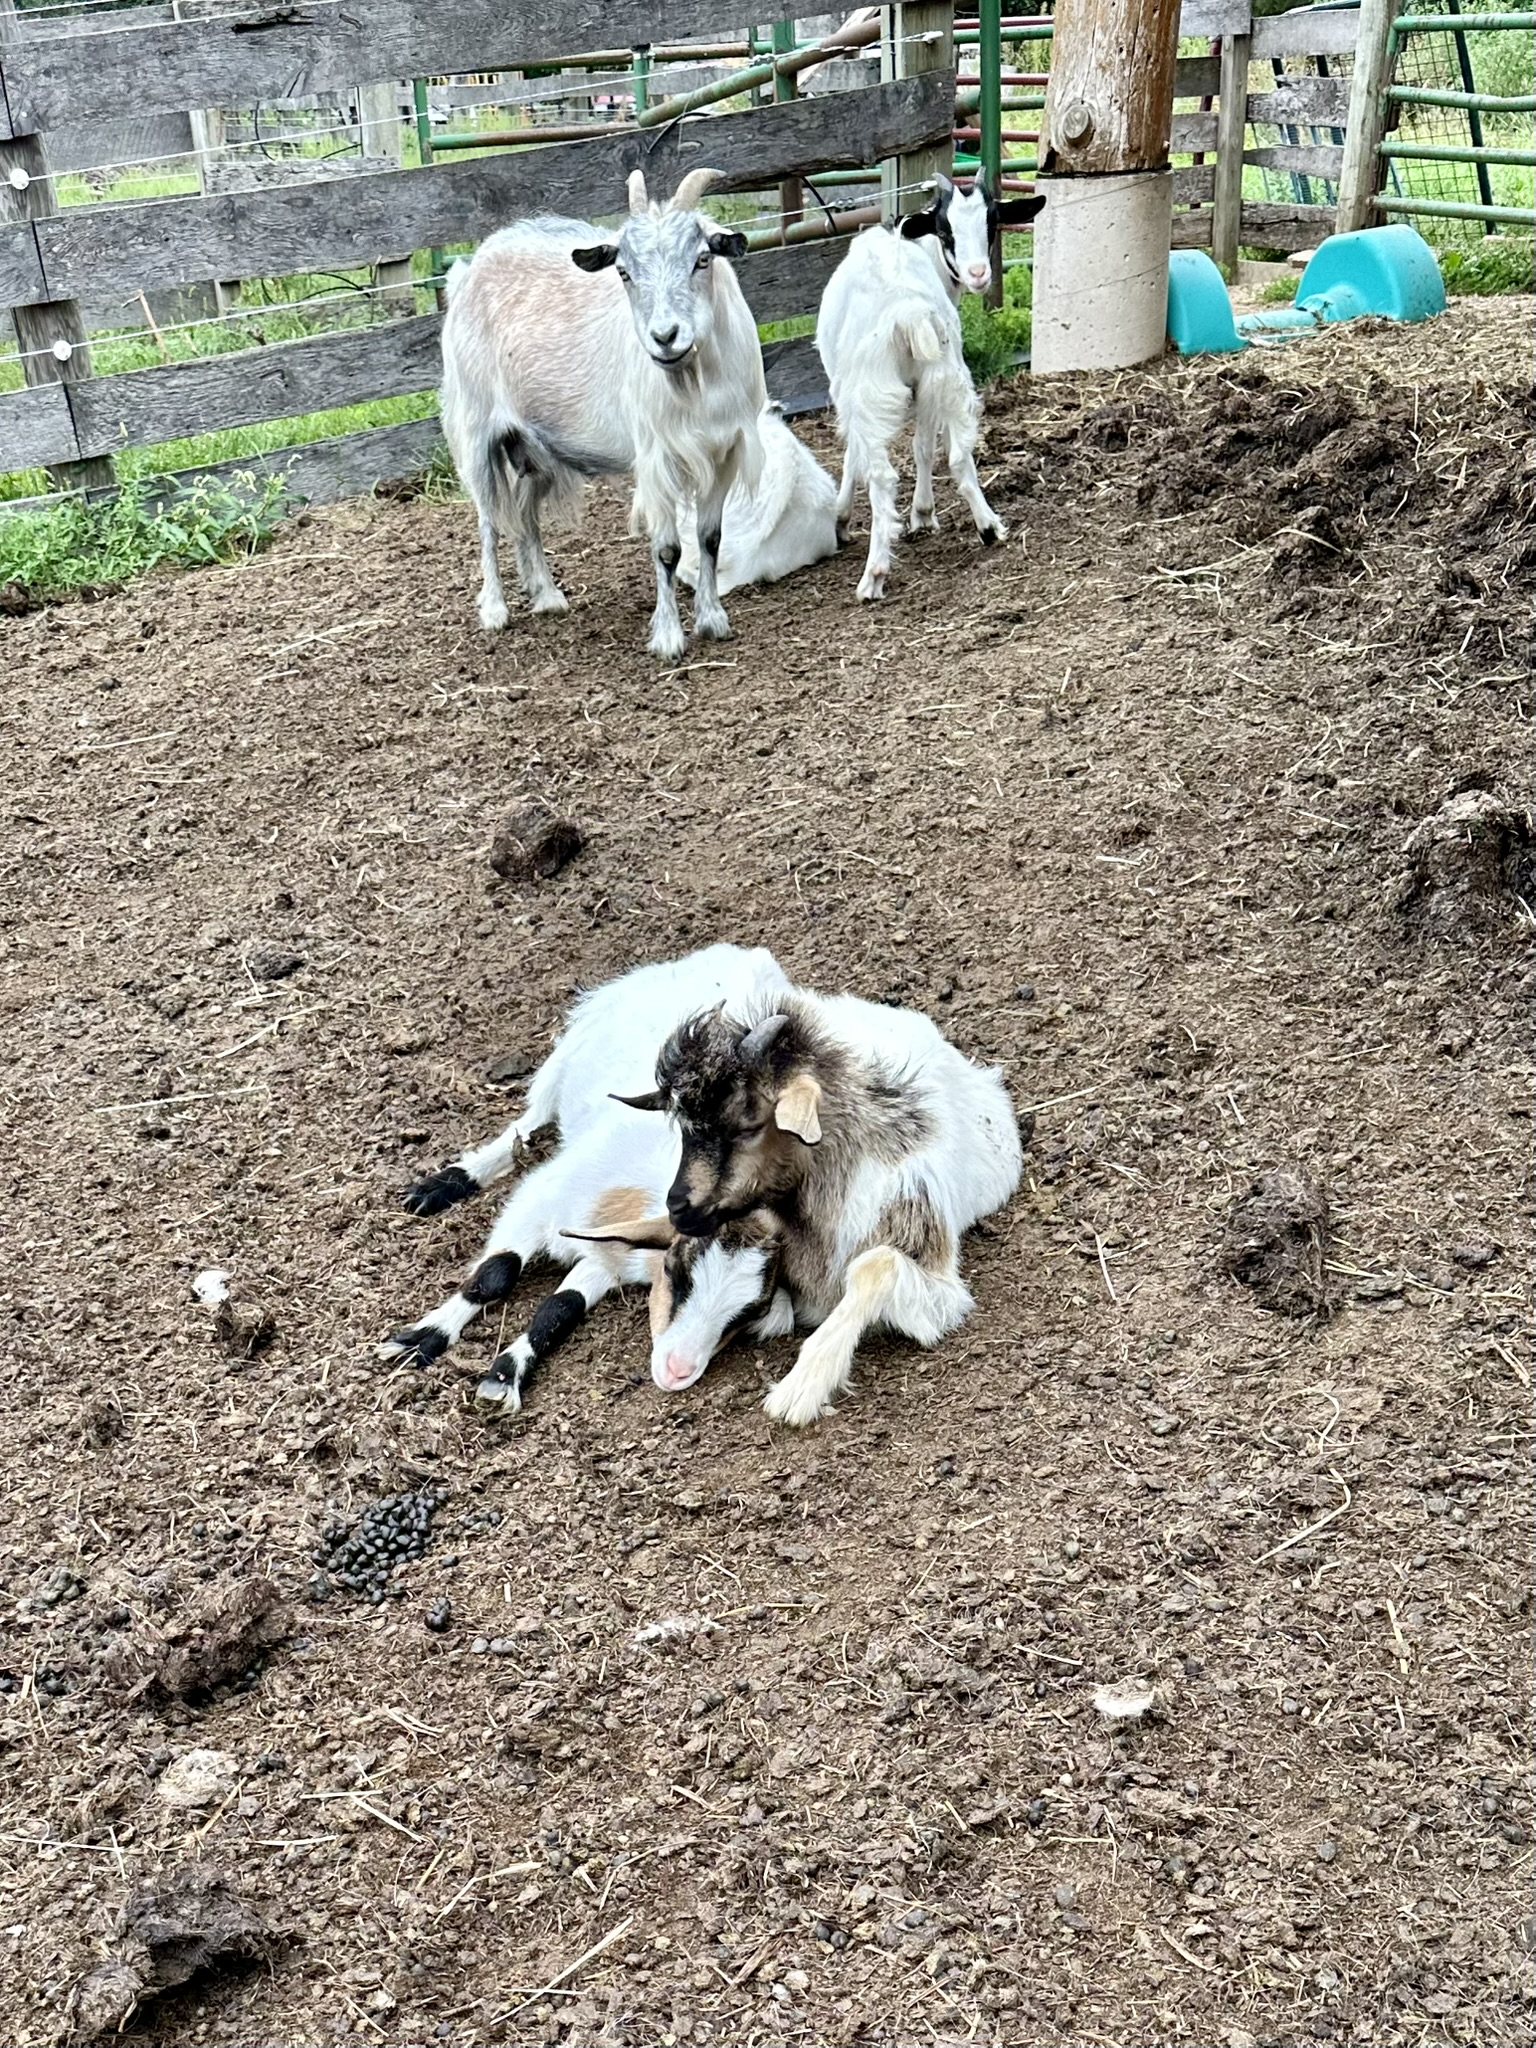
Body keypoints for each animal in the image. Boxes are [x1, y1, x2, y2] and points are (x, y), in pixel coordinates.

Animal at [382, 945, 796, 1410]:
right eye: (677, 1273)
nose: (677, 1371)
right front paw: (421, 1339)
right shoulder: (537, 1203)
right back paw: (441, 1186)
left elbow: (561, 1307)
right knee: (527, 1124)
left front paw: (504, 1376)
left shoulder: (606, 1255)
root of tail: (741, 952)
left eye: (751, 1311)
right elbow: (497, 1273)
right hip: (568, 1052)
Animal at [439, 167, 769, 658]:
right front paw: (668, 639)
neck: (695, 383)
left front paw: (713, 620)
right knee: (487, 517)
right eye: (624, 272)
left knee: (523, 512)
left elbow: (710, 538)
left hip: (536, 448)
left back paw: (547, 595)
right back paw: (495, 610)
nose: (665, 337)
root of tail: (467, 270)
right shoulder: (656, 457)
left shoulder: (723, 450)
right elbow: (668, 549)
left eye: (703, 259)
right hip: (476, 429)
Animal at [611, 987, 1024, 1427]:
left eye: (748, 1125)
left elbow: (876, 1265)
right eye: (683, 1129)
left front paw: (800, 1388)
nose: (678, 1209)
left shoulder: (937, 1277)